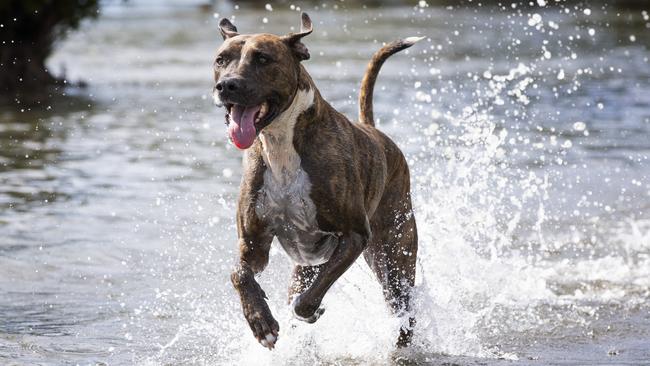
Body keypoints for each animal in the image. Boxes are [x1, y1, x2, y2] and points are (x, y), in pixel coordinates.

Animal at [213, 12, 420, 348]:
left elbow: (307, 301)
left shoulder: (354, 235)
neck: (280, 144)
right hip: (309, 264)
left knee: (401, 306)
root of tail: (374, 131)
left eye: (263, 58)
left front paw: (308, 312)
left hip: (394, 256)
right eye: (221, 59)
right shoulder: (253, 243)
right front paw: (261, 322)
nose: (227, 85)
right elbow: (239, 274)